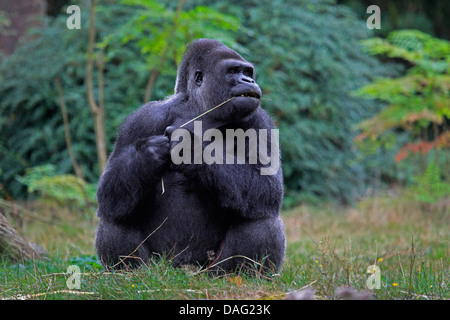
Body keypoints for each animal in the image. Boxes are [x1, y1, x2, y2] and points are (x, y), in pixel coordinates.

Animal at [95, 38, 284, 272]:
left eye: (248, 72)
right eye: (233, 71)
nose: (249, 80)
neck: (198, 110)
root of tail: (184, 268)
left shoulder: (260, 122)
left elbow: (267, 187)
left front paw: (192, 149)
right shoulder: (142, 119)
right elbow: (107, 191)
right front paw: (147, 156)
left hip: (210, 269)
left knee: (262, 218)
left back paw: (241, 274)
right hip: (158, 263)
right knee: (116, 211)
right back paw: (131, 272)